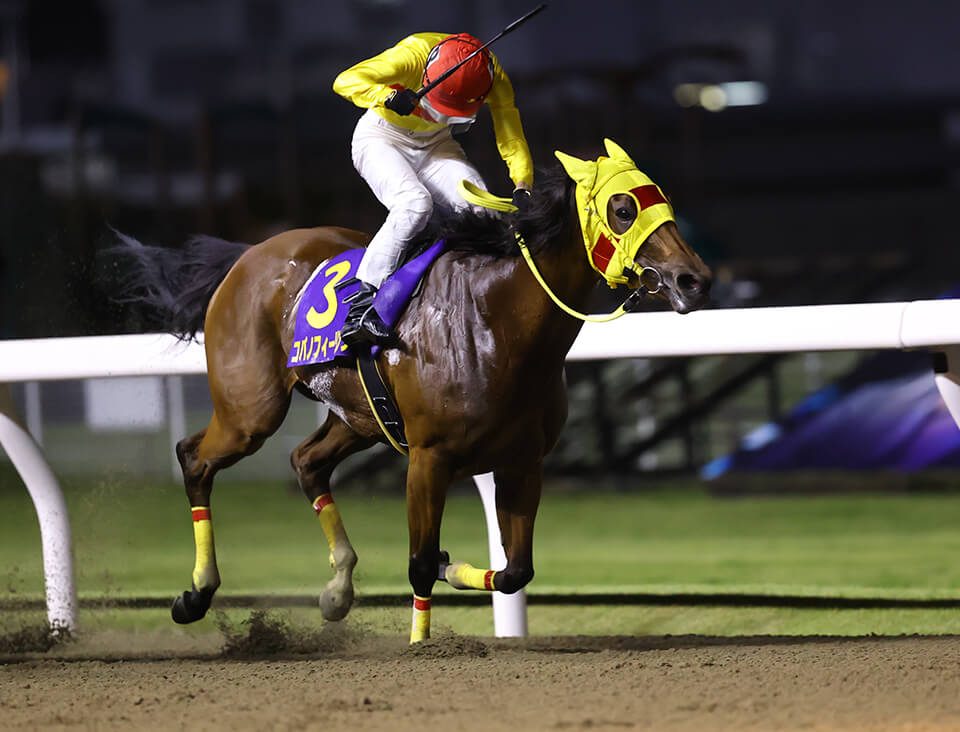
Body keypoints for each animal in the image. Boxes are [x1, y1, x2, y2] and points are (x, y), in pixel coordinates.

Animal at [112, 139, 712, 640]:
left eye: (659, 200)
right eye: (623, 209)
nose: (695, 279)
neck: (497, 321)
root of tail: (246, 256)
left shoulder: (522, 460)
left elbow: (515, 571)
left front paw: (452, 565)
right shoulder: (429, 458)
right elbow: (419, 563)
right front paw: (420, 641)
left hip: (359, 417)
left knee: (307, 461)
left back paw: (337, 589)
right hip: (250, 411)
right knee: (195, 457)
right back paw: (196, 594)